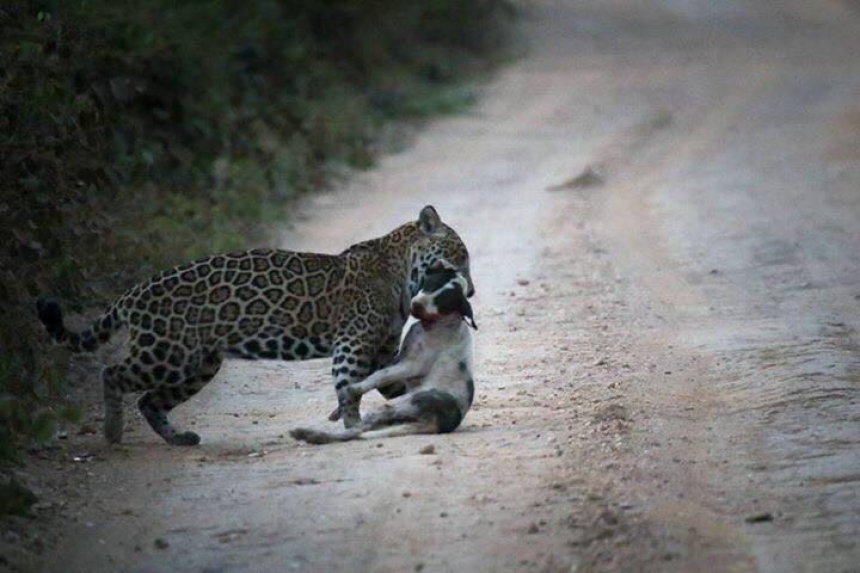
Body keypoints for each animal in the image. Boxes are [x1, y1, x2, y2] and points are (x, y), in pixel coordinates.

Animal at [290, 268, 478, 442]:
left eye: (442, 301)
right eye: (431, 284)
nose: (416, 304)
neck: (435, 323)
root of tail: (437, 424)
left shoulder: (411, 365)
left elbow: (379, 375)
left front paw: (353, 389)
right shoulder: (399, 358)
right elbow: (375, 373)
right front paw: (340, 407)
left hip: (397, 405)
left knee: (360, 428)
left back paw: (309, 434)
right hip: (396, 418)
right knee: (360, 432)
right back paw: (311, 435)